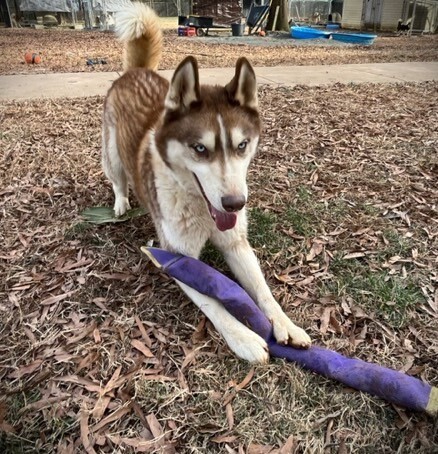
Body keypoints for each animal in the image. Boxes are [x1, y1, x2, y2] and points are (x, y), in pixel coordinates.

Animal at [102, 1, 312, 364]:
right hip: (113, 152)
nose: (235, 204)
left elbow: (263, 290)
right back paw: (120, 203)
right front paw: (244, 337)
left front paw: (286, 323)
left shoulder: (236, 243)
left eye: (242, 146)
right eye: (200, 149)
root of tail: (136, 72)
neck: (200, 208)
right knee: (117, 178)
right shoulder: (176, 257)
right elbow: (213, 301)